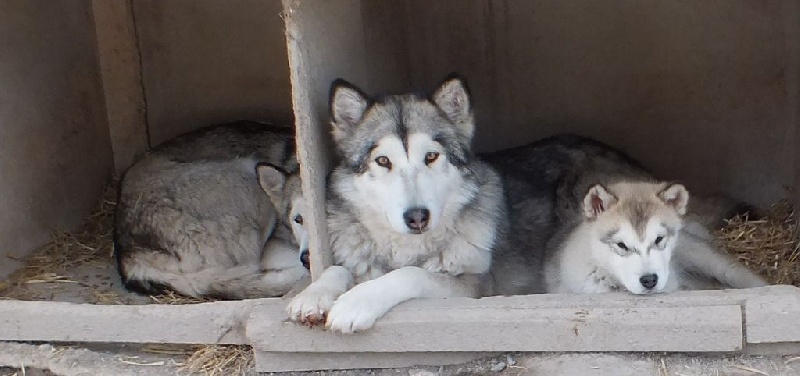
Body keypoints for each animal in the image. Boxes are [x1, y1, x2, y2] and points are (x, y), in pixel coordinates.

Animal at [284, 75, 504, 334]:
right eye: (382, 160)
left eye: (431, 156)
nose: (417, 217)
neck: (406, 246)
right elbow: (337, 268)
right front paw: (314, 293)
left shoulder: (477, 284)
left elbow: (411, 273)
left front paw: (356, 301)